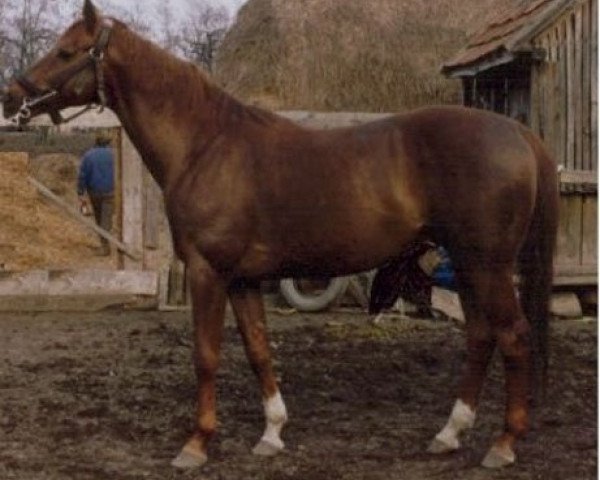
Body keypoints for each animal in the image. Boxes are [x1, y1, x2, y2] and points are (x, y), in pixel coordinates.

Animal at [2, 0, 560, 470]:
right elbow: (258, 350)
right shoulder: (243, 279)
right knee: (481, 336)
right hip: (466, 265)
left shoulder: (208, 272)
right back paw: (449, 433)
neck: (205, 145)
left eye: (67, 51)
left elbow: (206, 355)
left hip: (486, 265)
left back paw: (502, 444)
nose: (12, 96)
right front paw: (271, 433)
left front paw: (196, 444)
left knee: (513, 336)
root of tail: (520, 133)